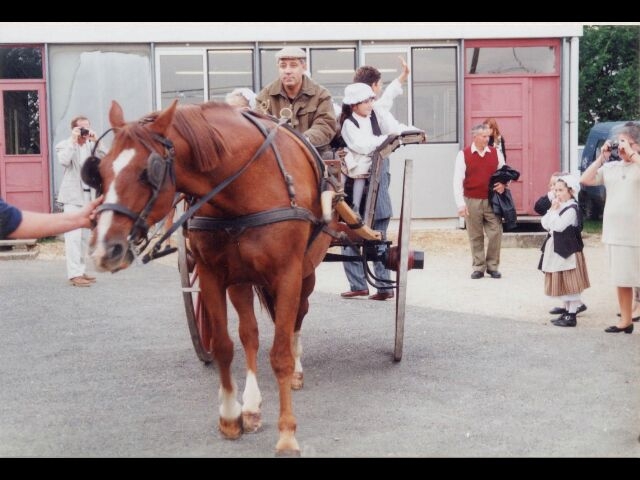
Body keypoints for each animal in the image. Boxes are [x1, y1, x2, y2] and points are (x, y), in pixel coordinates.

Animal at [89, 100, 336, 454]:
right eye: (102, 170)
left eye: (147, 172)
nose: (105, 249)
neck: (244, 187)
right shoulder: (212, 274)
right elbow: (223, 346)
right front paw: (231, 416)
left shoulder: (287, 273)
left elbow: (281, 355)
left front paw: (287, 433)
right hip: (242, 279)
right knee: (250, 334)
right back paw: (251, 406)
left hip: (305, 273)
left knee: (296, 319)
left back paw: (296, 374)